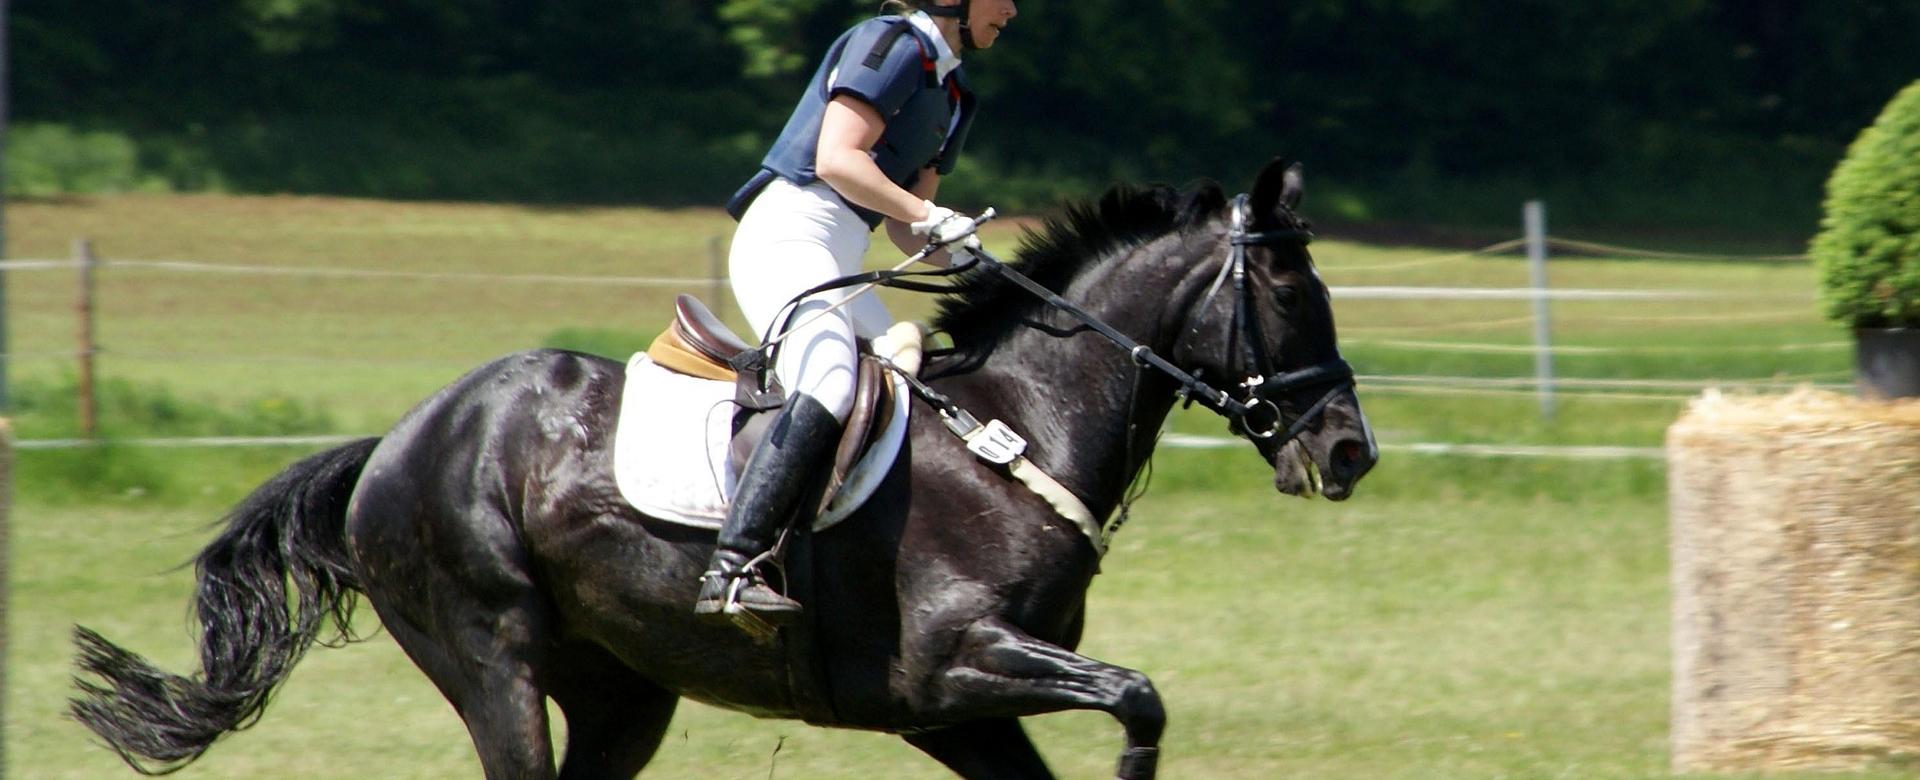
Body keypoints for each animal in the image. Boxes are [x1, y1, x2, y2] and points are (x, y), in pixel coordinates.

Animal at [71, 158, 1377, 780]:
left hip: (623, 690)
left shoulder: (955, 713)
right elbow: (1139, 697)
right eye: (1287, 291)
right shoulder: (952, 669)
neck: (1021, 428)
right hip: (490, 655)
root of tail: (397, 440)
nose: (1349, 451)